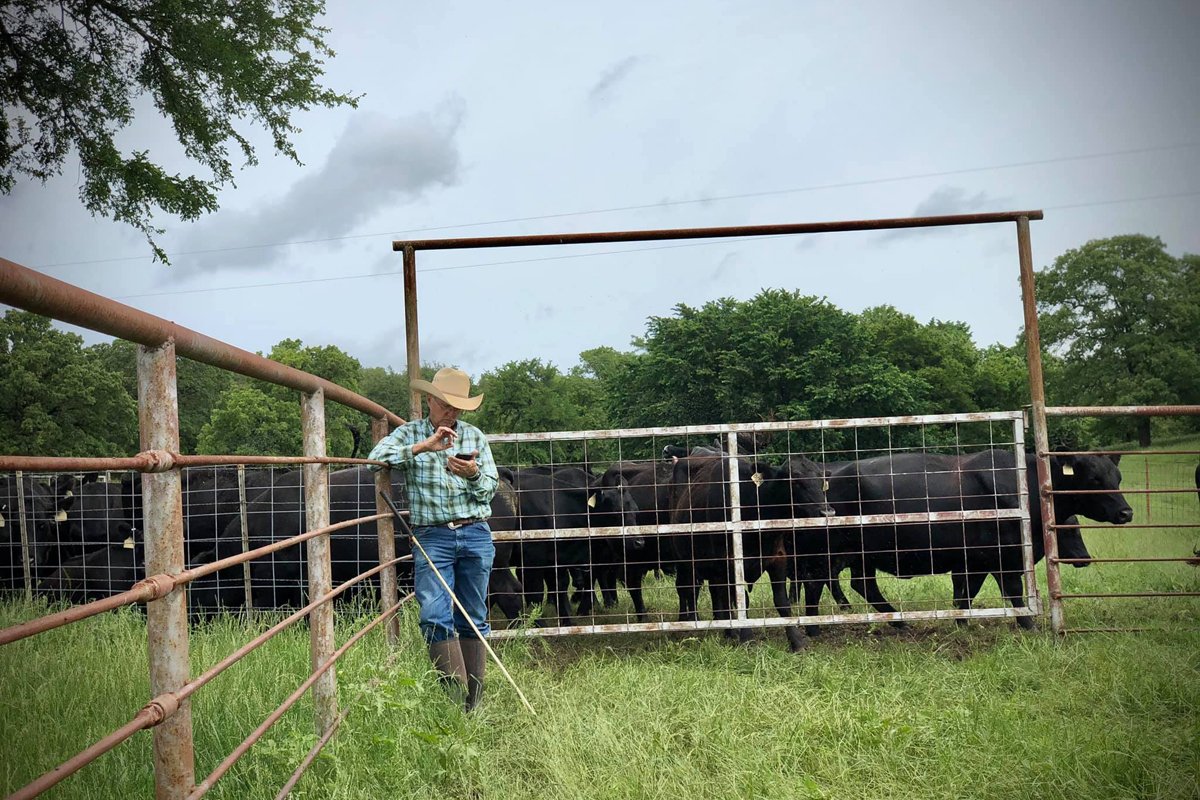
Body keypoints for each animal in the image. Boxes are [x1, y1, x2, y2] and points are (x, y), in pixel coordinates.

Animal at [667, 455, 835, 652]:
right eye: (794, 481)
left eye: (822, 481)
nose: (827, 512)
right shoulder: (732, 563)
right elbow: (743, 602)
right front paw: (747, 638)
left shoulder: (778, 559)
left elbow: (782, 602)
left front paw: (796, 641)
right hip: (685, 561)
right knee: (688, 588)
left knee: (718, 594)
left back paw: (729, 631)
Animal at [820, 450, 1128, 633]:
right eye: (1094, 478)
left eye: (1117, 477)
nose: (1126, 512)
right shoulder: (1002, 558)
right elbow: (1013, 592)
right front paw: (1028, 624)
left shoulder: (972, 562)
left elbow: (965, 594)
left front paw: (961, 622)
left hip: (863, 555)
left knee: (863, 585)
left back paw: (898, 621)